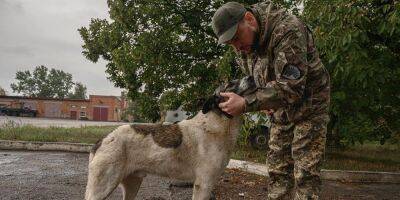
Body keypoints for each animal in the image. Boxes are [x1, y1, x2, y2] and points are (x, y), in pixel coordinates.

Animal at [86, 76, 258, 199]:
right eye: (230, 84)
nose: (251, 76)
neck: (217, 123)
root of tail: (103, 139)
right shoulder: (203, 184)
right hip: (102, 188)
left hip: (132, 184)